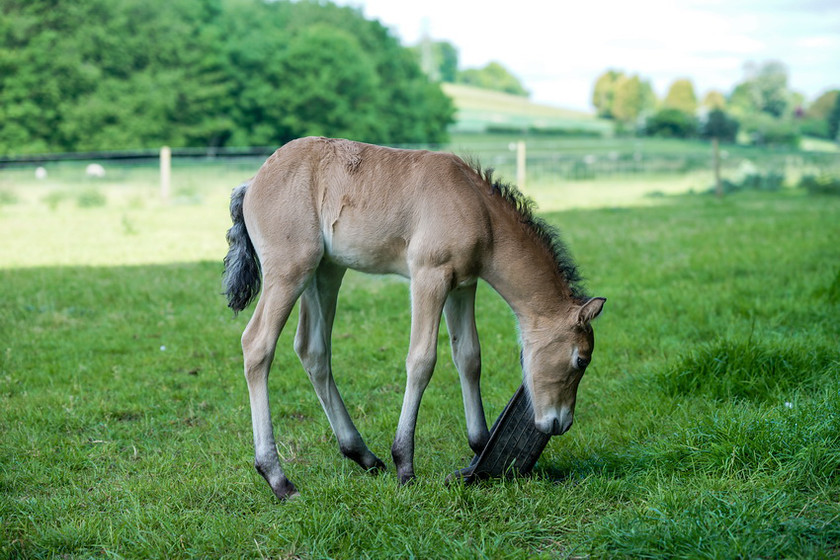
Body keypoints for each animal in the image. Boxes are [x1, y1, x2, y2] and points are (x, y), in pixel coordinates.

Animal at [223, 137, 604, 498]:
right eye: (581, 360)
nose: (560, 423)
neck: (477, 207)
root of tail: (252, 182)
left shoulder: (463, 285)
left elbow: (469, 356)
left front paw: (481, 448)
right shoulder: (429, 276)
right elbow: (422, 360)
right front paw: (405, 465)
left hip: (326, 271)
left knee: (313, 350)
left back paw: (362, 454)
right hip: (291, 270)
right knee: (257, 345)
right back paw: (278, 479)